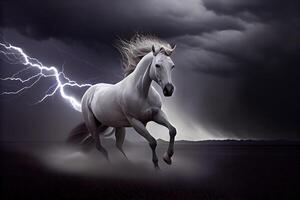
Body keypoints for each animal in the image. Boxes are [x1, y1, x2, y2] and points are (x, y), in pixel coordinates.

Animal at [68, 34, 176, 169]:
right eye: (157, 65)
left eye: (172, 66)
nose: (169, 90)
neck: (141, 92)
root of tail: (90, 91)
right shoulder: (135, 122)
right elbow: (152, 142)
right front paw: (157, 165)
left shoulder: (156, 114)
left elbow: (172, 130)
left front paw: (167, 157)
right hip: (92, 125)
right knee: (100, 147)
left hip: (114, 125)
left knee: (118, 146)